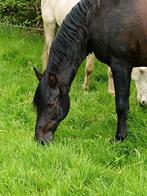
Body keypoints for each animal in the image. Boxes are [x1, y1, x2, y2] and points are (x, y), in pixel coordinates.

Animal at [33, 0, 147, 142]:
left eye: (51, 104)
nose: (39, 139)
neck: (97, 18)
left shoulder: (119, 64)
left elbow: (121, 103)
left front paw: (119, 137)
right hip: (50, 26)